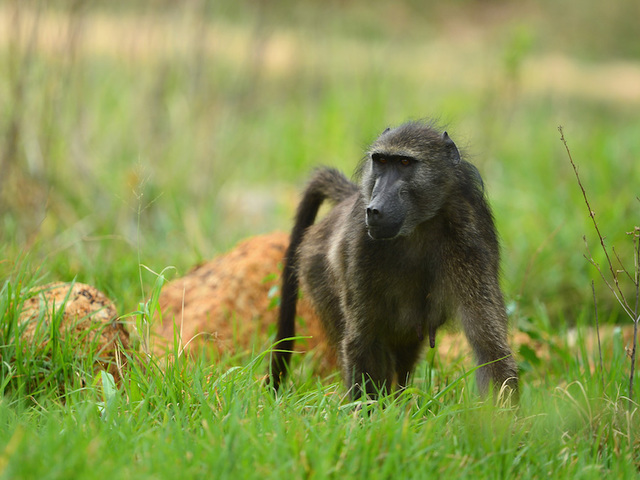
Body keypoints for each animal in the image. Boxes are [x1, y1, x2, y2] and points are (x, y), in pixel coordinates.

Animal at [269, 121, 518, 401]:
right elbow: (362, 342)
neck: (418, 228)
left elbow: (490, 350)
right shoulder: (360, 247)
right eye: (381, 161)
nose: (374, 210)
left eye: (404, 162)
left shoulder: (471, 242)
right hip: (316, 271)